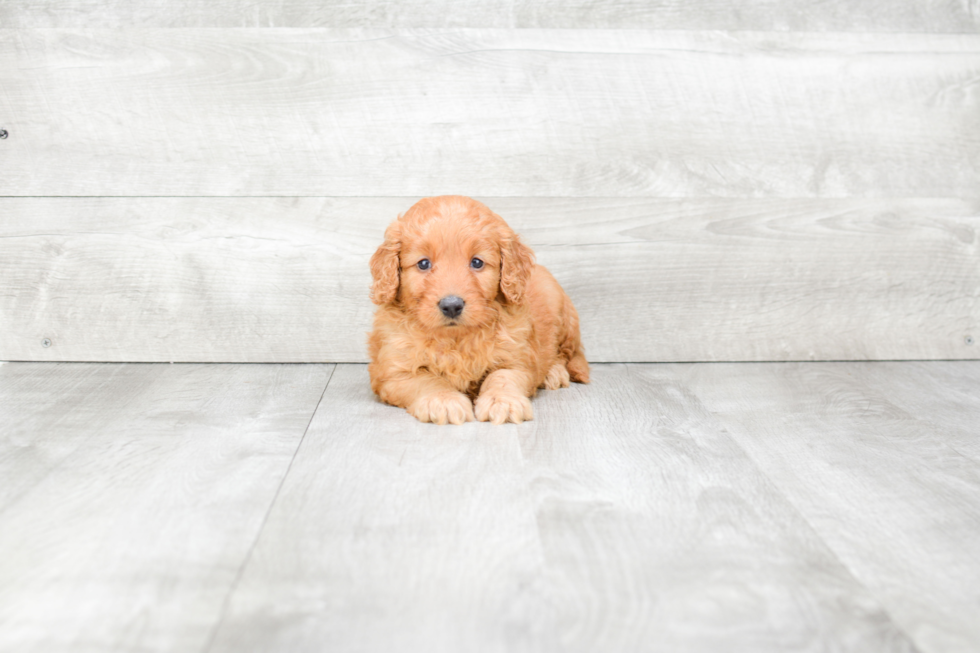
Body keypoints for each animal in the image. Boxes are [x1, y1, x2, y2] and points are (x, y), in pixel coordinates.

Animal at [368, 196, 588, 426]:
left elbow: (502, 377)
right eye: (423, 263)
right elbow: (427, 380)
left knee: (567, 354)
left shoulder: (518, 361)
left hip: (565, 317)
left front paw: (503, 401)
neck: (456, 338)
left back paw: (553, 372)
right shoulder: (392, 373)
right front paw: (444, 400)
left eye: (476, 262)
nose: (452, 306)